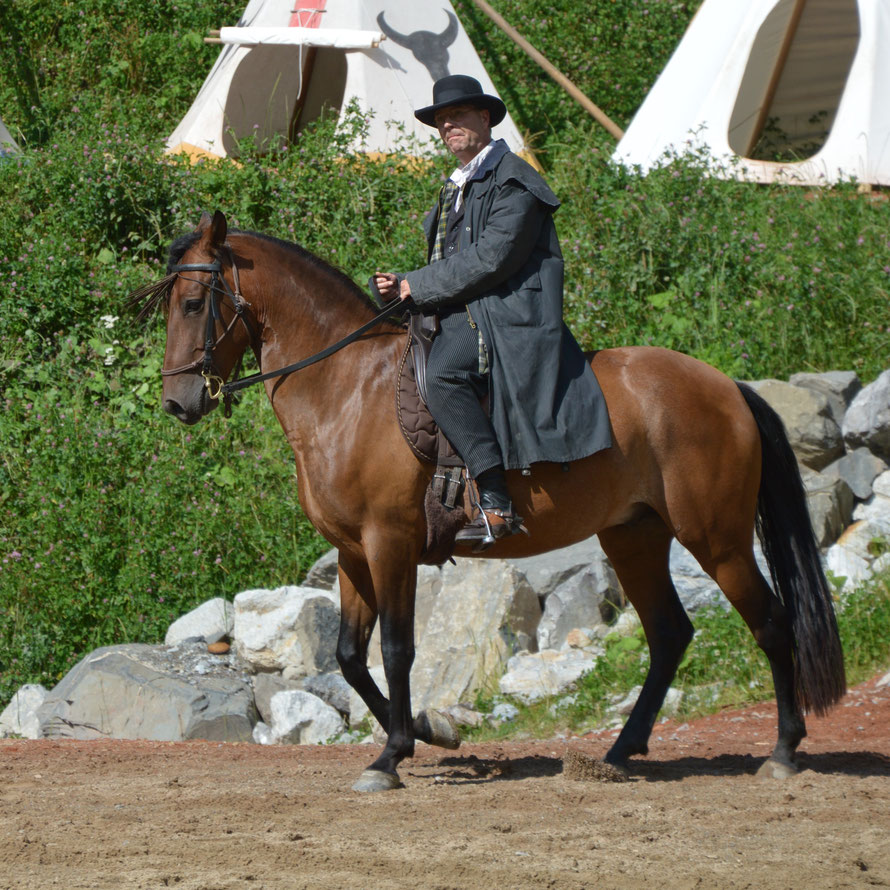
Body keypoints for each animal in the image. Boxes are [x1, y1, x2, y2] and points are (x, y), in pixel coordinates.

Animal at [142, 210, 844, 792]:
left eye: (194, 302)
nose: (177, 403)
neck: (345, 388)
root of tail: (728, 387)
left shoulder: (390, 544)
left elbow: (396, 650)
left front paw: (392, 755)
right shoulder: (352, 553)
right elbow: (348, 656)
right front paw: (428, 732)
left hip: (717, 541)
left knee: (771, 623)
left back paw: (782, 752)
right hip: (635, 537)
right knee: (671, 635)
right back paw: (620, 752)